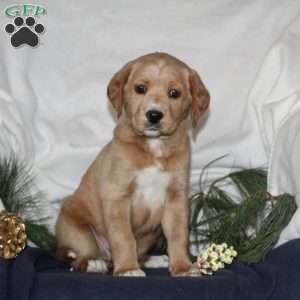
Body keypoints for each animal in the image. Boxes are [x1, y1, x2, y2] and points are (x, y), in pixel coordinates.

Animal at [55, 52, 210, 276]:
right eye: (140, 89)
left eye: (174, 93)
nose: (154, 115)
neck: (154, 147)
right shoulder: (118, 196)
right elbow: (124, 237)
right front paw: (128, 268)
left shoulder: (176, 198)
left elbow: (178, 236)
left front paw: (183, 267)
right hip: (78, 231)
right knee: (75, 256)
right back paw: (94, 262)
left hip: (150, 234)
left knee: (138, 251)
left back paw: (155, 259)